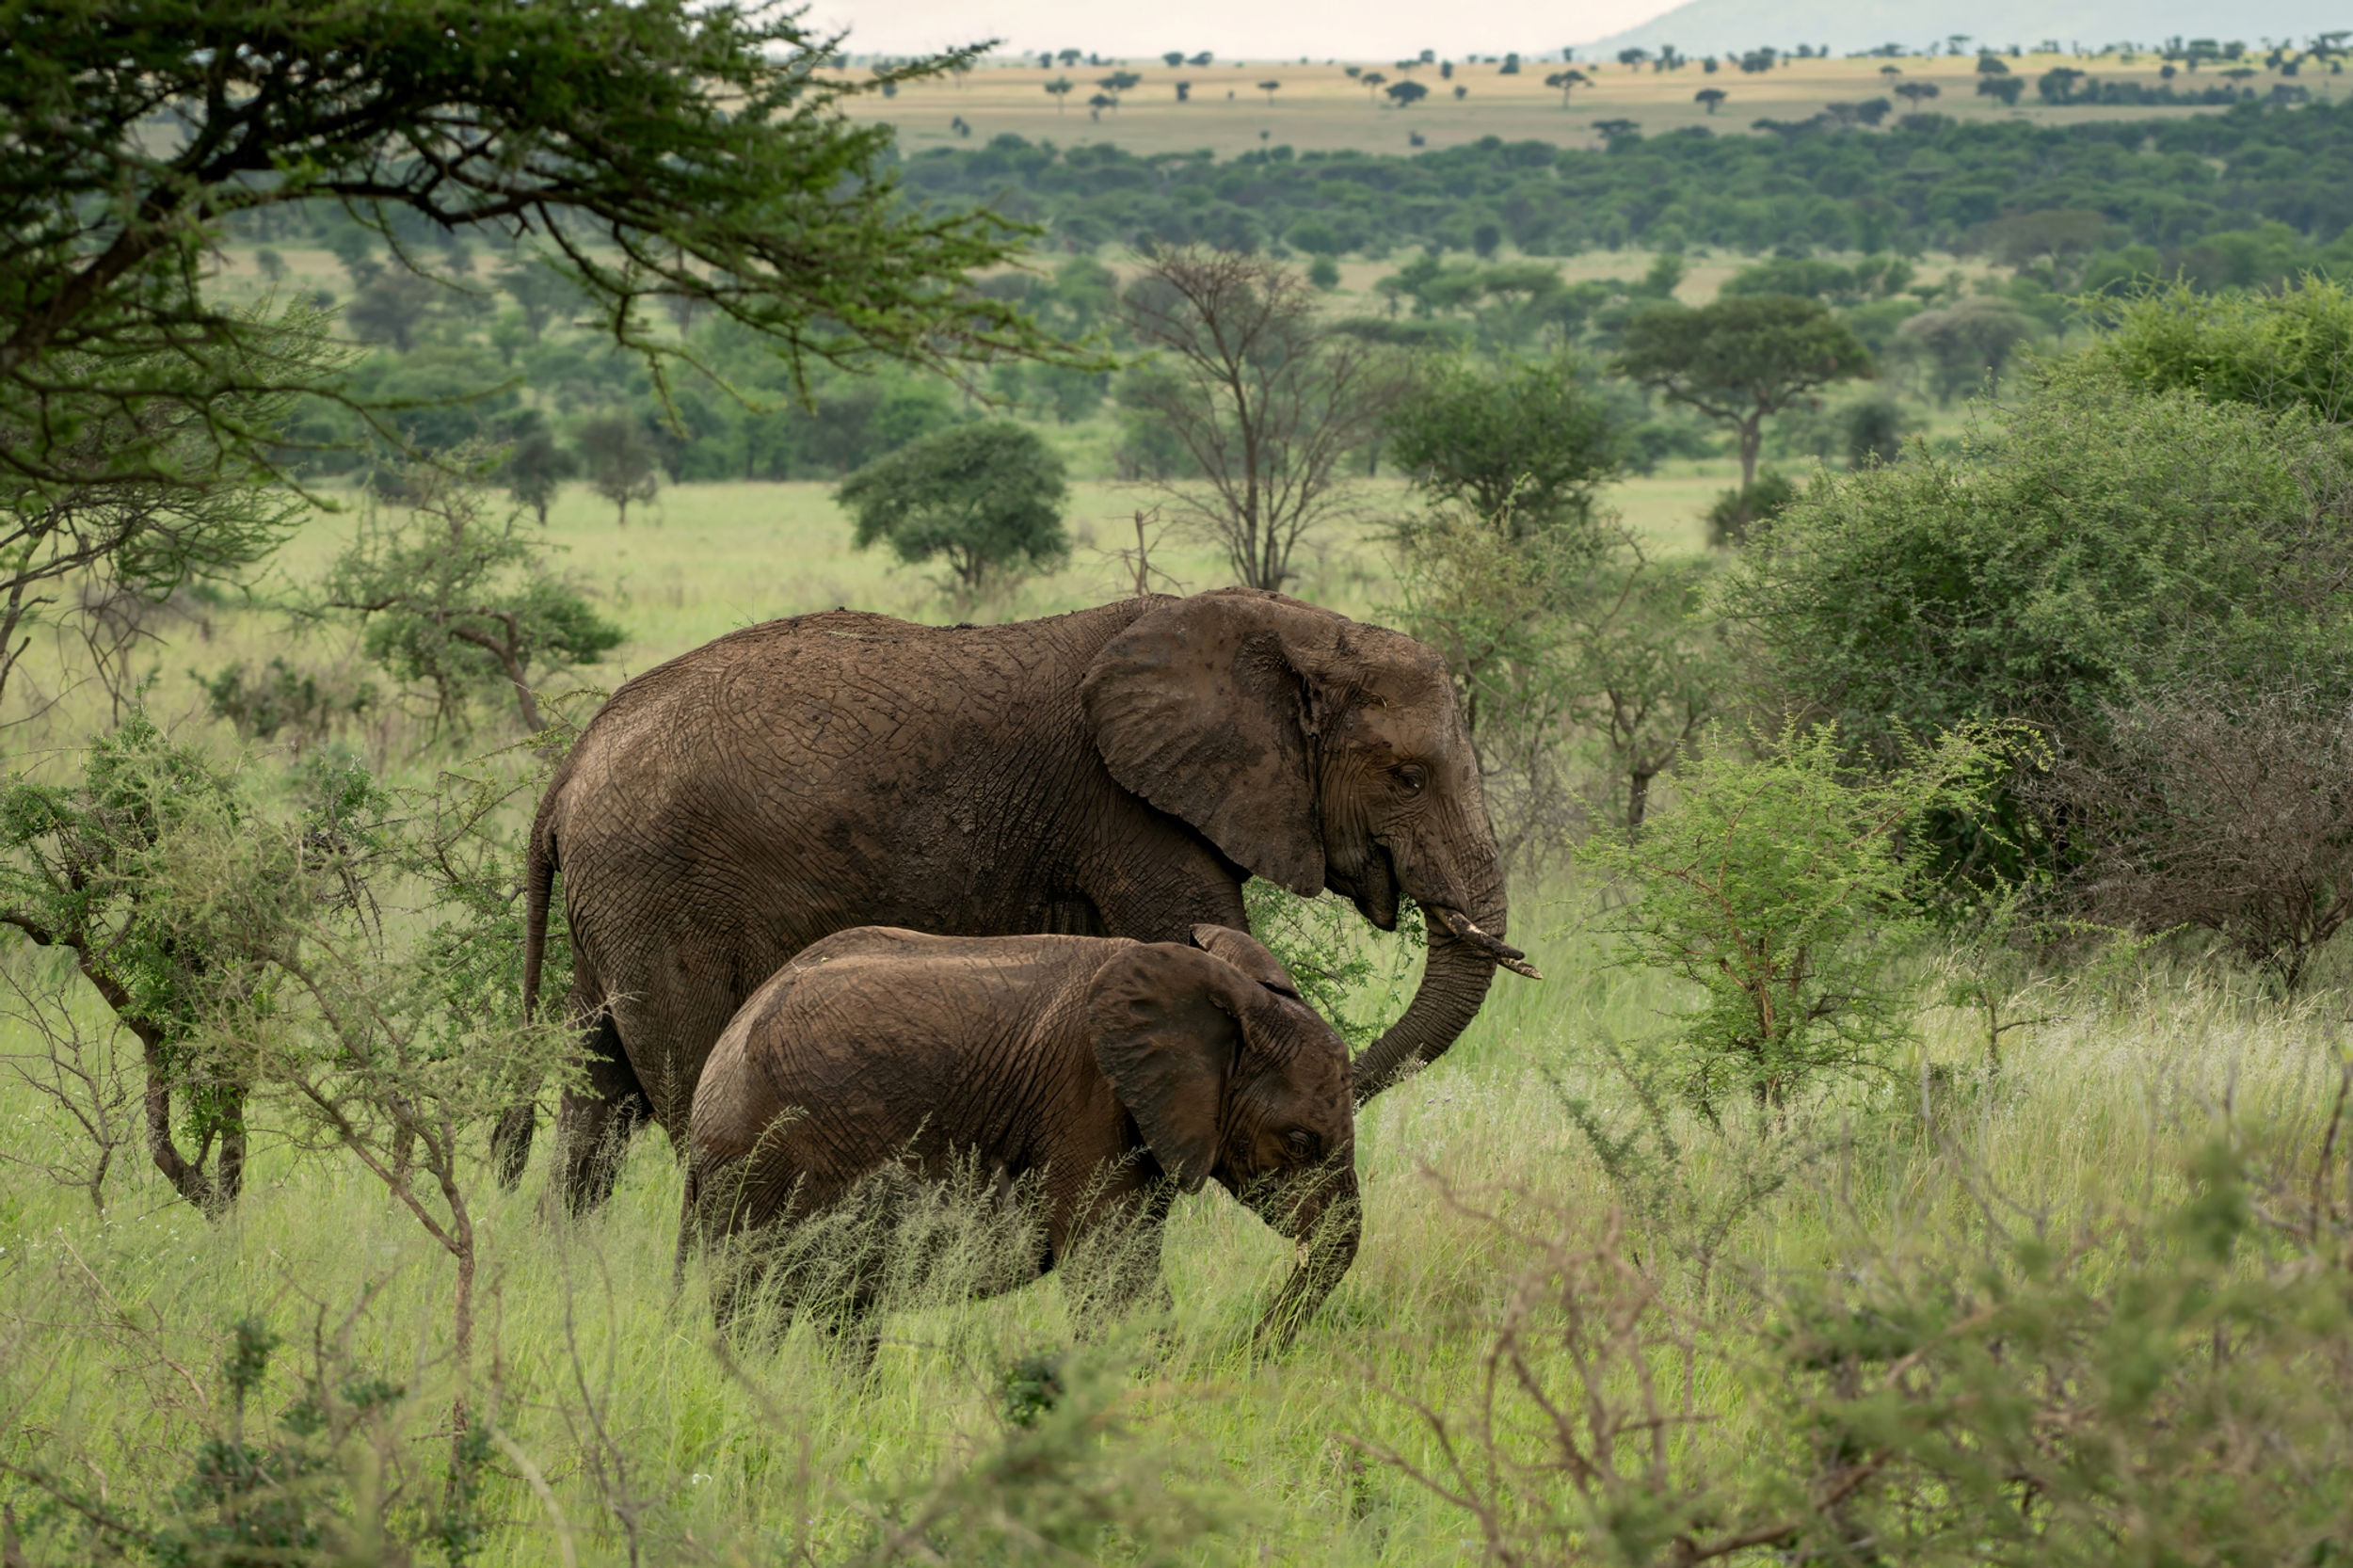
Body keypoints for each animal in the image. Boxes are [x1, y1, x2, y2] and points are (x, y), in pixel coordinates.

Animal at [511, 586, 1535, 1208]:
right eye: (1407, 777)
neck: (1282, 625)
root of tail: (567, 770)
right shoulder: (1124, 811)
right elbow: (1189, 941)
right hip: (660, 890)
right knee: (677, 1082)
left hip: (613, 905)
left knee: (594, 1088)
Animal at [683, 923, 1359, 1342]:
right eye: (1299, 1142)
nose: (1247, 1344)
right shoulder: (1087, 1102)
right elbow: (1113, 1274)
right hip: (756, 1162)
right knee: (755, 1312)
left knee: (845, 1313)